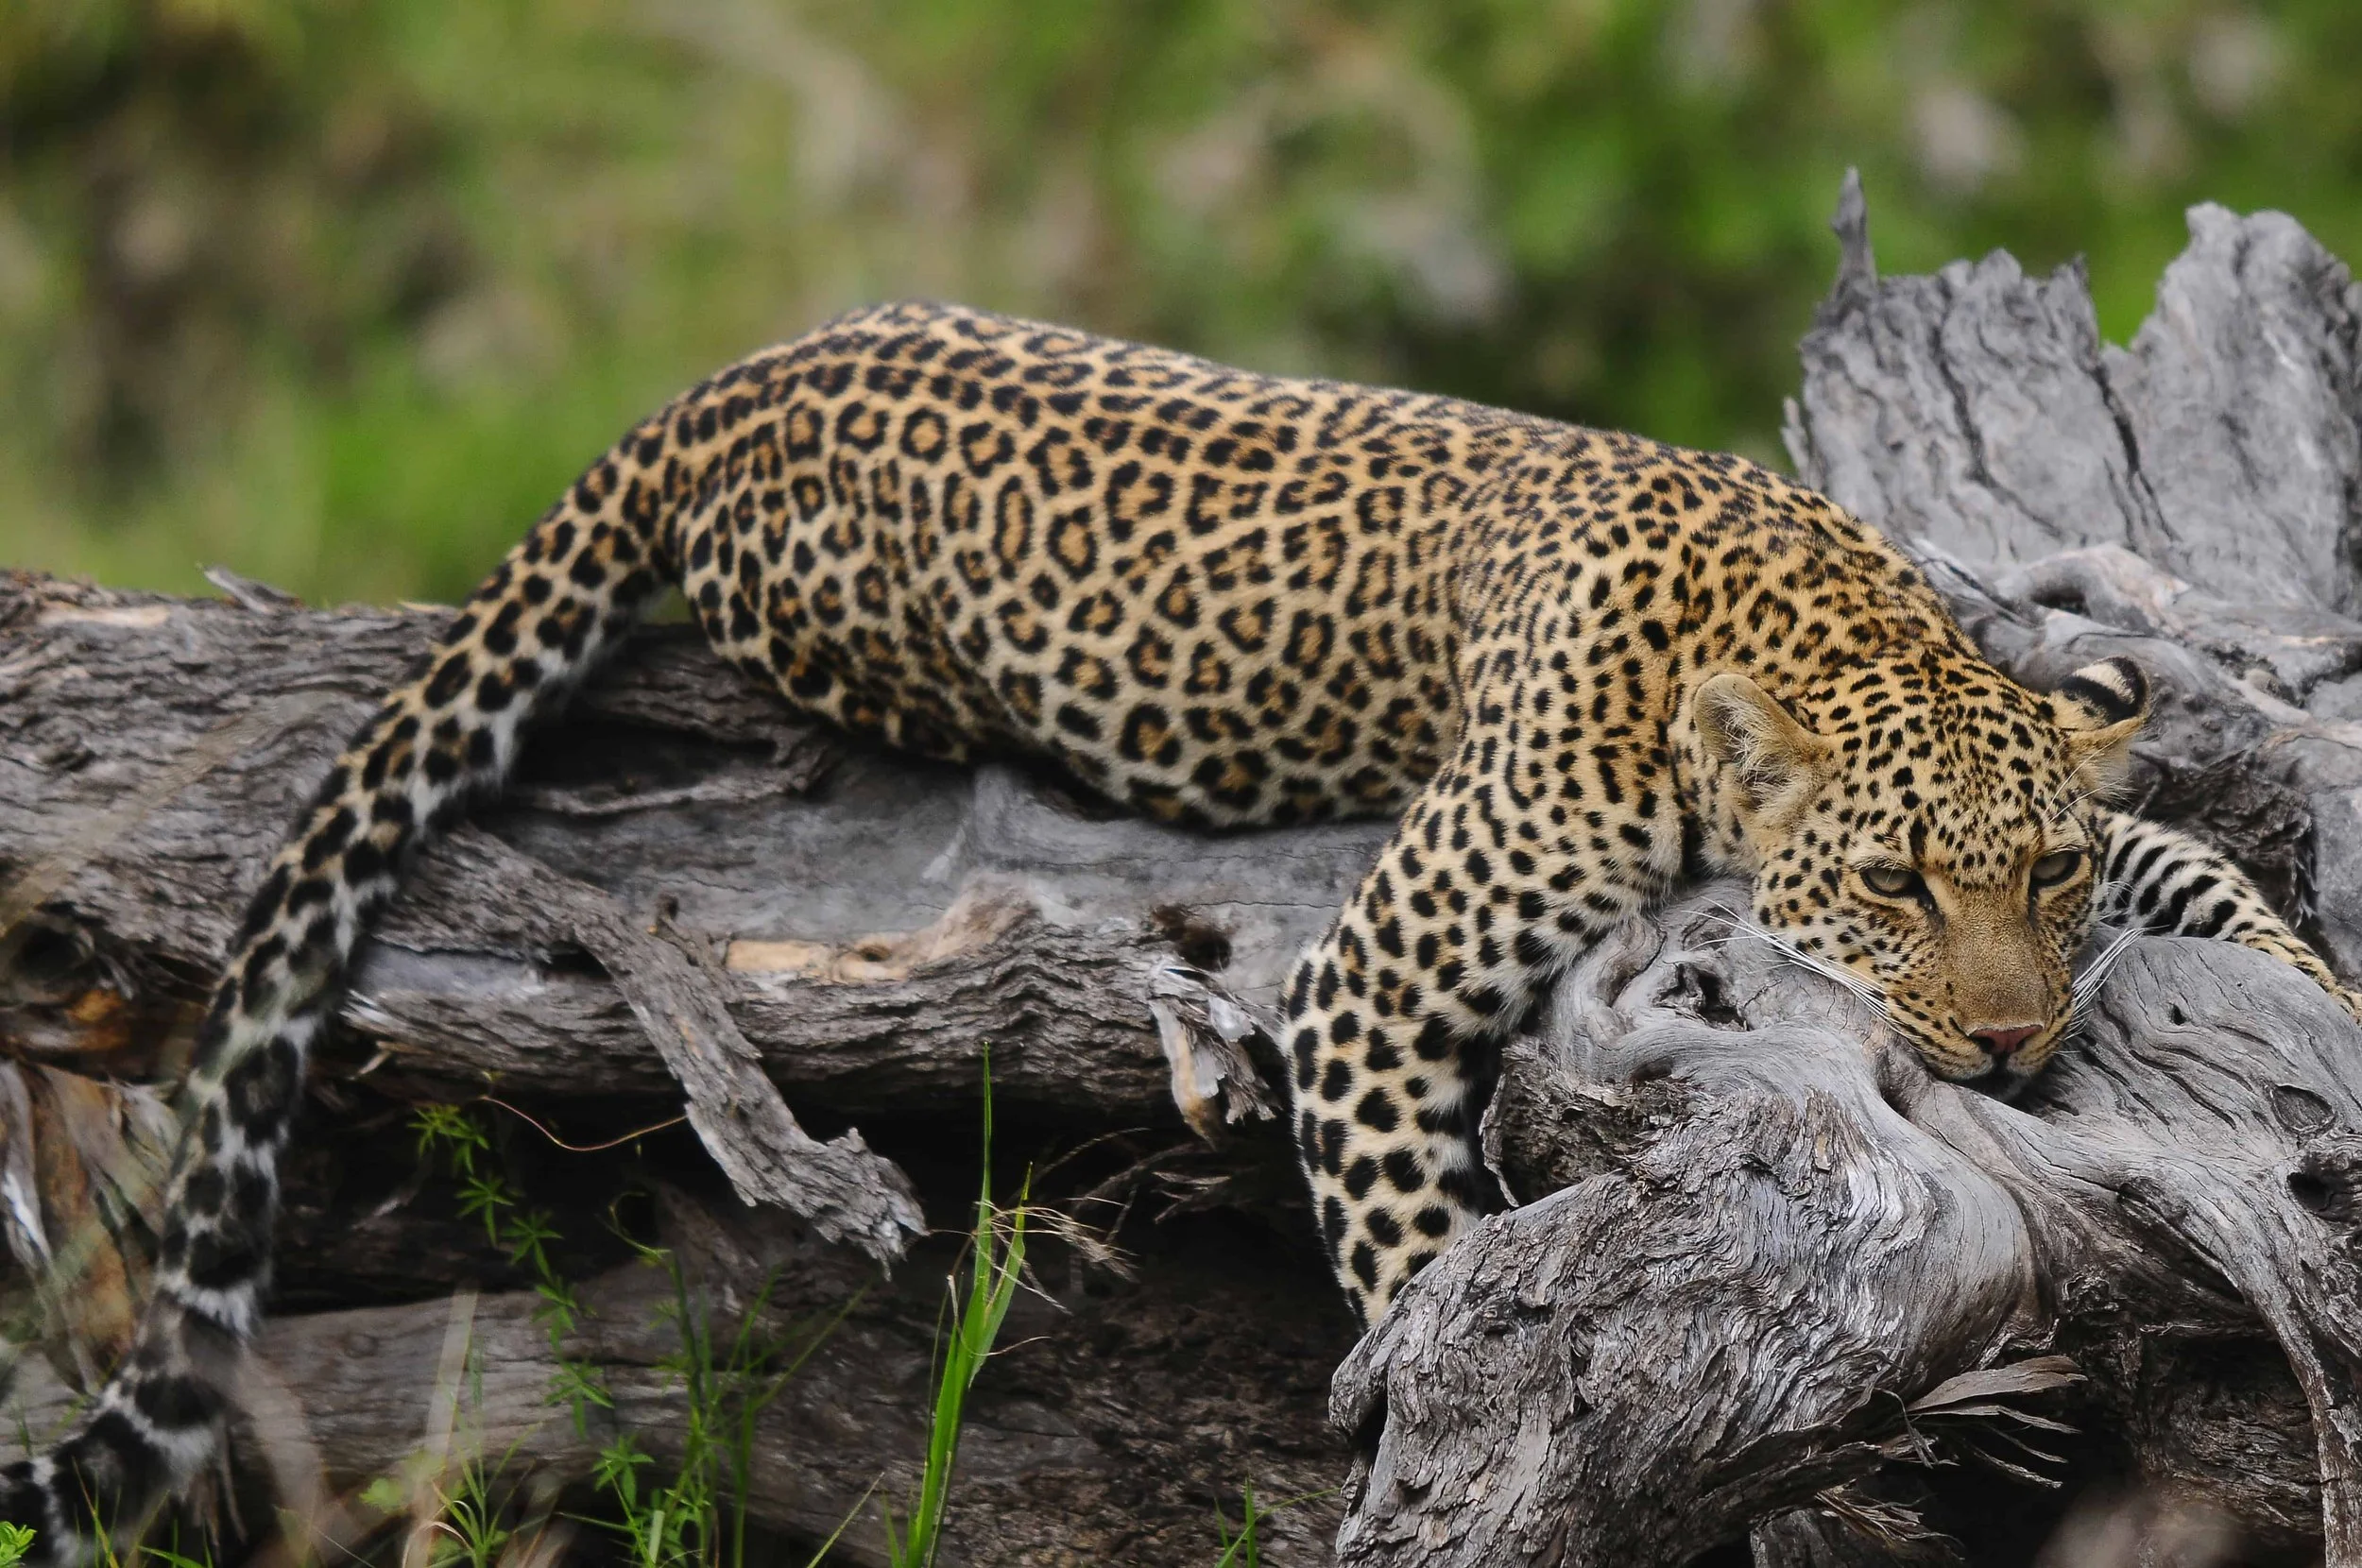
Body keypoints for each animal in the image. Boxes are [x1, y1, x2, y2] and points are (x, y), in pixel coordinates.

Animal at [6, 300, 2355, 1562]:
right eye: (1887, 886)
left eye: (2030, 875)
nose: (2005, 1046)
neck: (1796, 601)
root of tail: (742, 366)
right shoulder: (1388, 965)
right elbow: (1424, 1255)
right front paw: (1446, 1396)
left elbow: (2204, 873)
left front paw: (2301, 982)